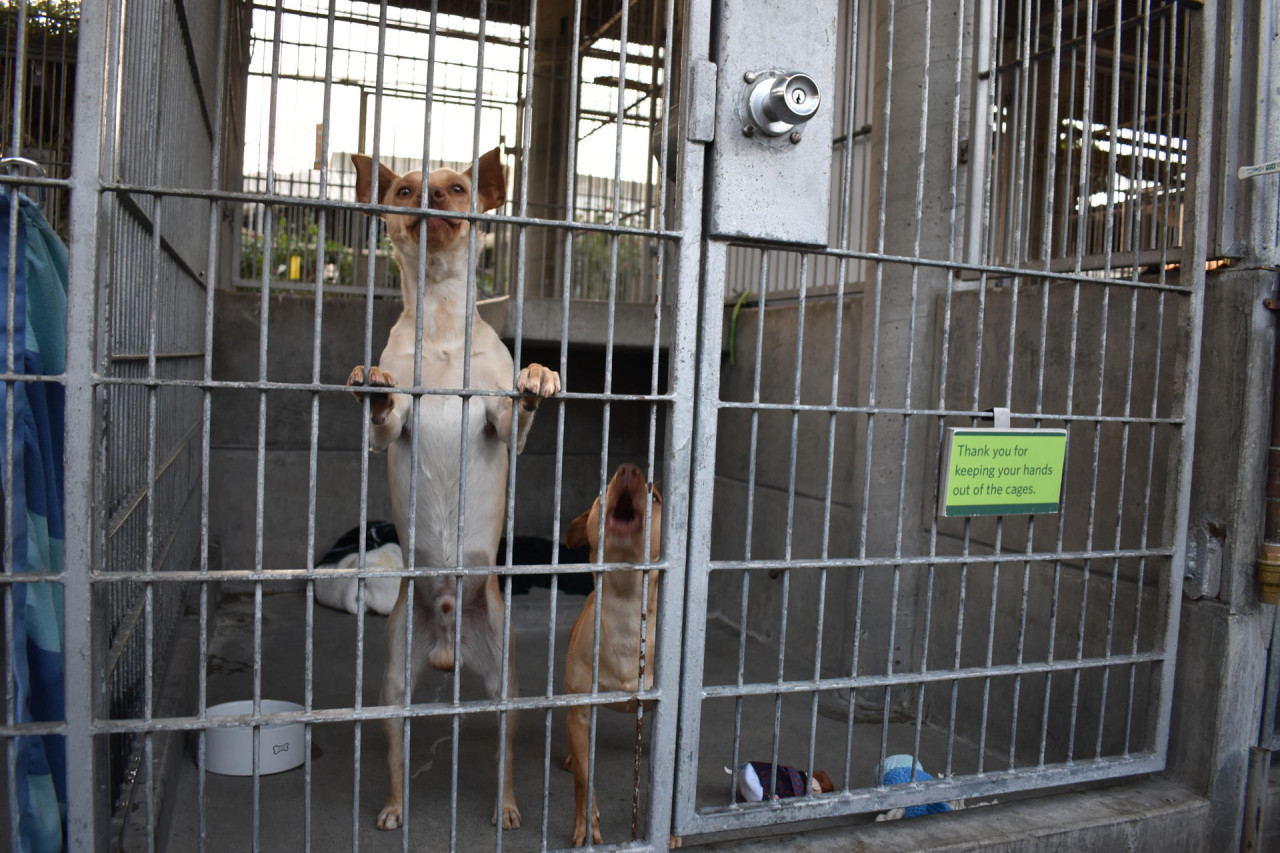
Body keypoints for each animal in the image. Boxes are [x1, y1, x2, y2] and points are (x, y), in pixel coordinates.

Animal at [345, 147, 560, 829]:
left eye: (459, 188)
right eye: (404, 189)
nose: (430, 198)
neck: (440, 320)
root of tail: (446, 638)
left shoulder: (499, 423)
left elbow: (516, 412)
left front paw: (538, 377)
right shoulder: (393, 430)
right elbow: (385, 417)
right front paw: (373, 384)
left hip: (505, 686)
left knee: (504, 753)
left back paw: (508, 808)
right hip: (393, 683)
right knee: (395, 746)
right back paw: (394, 808)